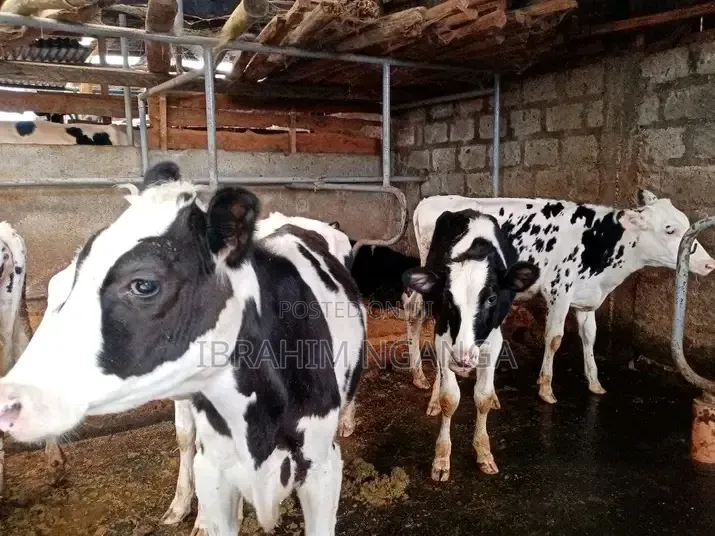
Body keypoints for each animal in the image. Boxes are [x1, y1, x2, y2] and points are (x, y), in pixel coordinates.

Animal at [0, 162, 366, 536]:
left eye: (143, 284)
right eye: (63, 285)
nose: (9, 401)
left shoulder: (323, 468)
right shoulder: (213, 467)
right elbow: (187, 442)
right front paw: (187, 510)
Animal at [402, 209, 539, 478]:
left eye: (492, 298)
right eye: (447, 297)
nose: (462, 359)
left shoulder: (494, 340)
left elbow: (482, 397)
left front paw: (483, 451)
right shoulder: (444, 336)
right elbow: (449, 398)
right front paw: (441, 457)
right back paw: (433, 396)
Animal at [404, 191, 715, 405]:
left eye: (686, 223)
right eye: (670, 229)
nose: (709, 264)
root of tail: (431, 200)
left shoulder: (586, 298)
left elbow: (590, 336)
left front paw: (595, 382)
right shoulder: (559, 292)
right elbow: (554, 338)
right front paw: (546, 388)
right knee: (415, 314)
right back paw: (420, 376)